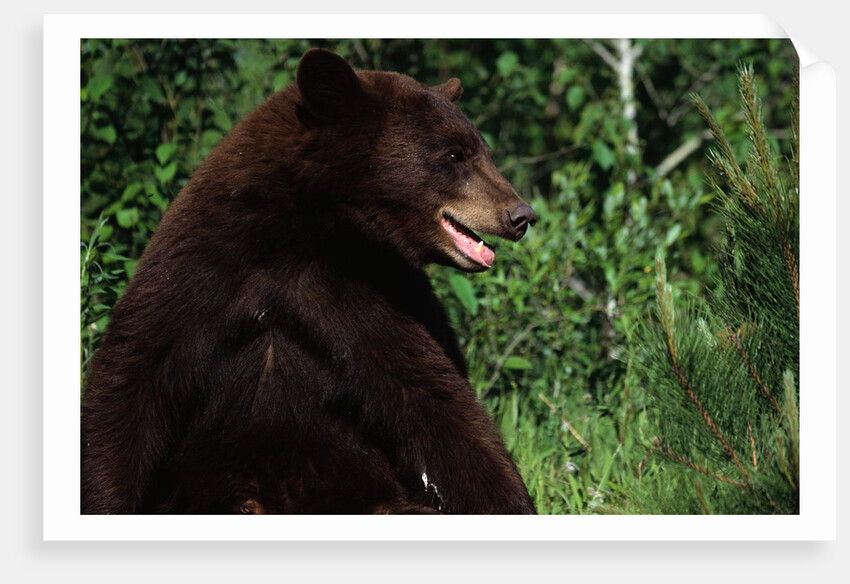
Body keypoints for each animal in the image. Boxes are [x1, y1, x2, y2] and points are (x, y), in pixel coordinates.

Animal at [81, 48, 537, 515]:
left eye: (484, 152)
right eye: (453, 156)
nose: (521, 214)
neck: (310, 231)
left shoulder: (377, 292)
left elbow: (434, 399)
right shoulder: (204, 265)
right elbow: (134, 377)